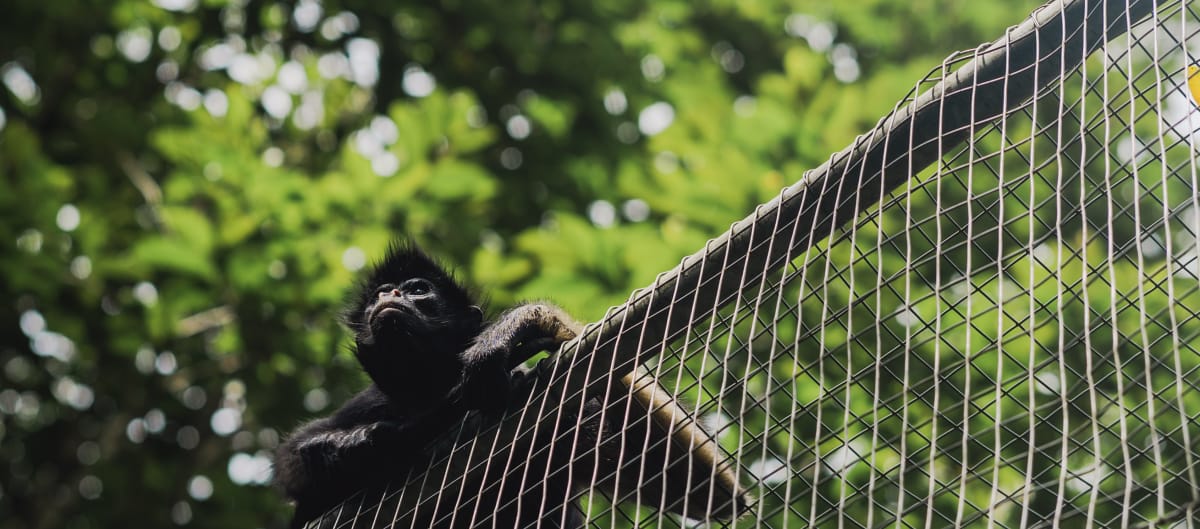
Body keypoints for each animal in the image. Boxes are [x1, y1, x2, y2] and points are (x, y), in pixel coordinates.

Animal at [274, 241, 585, 525]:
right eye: (378, 294)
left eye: (418, 290)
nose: (390, 293)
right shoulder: (372, 400)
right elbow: (291, 459)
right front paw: (353, 441)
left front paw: (517, 325)